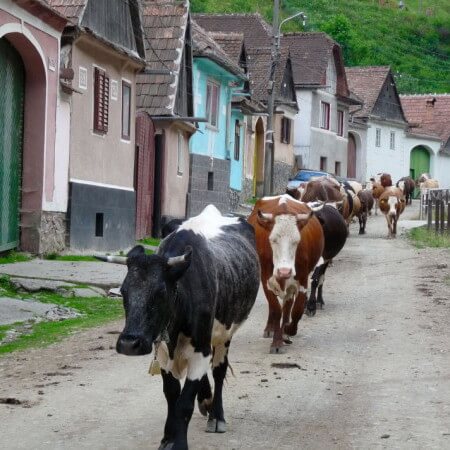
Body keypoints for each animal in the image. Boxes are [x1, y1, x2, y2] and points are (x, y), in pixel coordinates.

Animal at [102, 206, 258, 448]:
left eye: (161, 293)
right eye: (124, 291)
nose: (129, 344)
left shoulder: (201, 349)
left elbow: (184, 404)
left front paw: (180, 443)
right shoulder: (163, 351)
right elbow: (171, 395)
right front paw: (168, 437)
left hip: (224, 334)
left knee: (219, 370)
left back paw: (216, 416)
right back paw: (205, 400)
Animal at [246, 195, 324, 354]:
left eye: (297, 240)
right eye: (272, 240)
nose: (284, 271)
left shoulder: (302, 280)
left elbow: (297, 310)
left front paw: (287, 331)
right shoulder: (266, 279)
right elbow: (276, 309)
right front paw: (276, 342)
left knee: (288, 306)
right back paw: (270, 329)